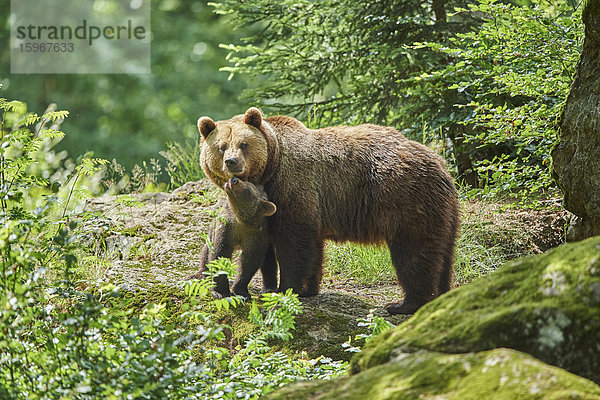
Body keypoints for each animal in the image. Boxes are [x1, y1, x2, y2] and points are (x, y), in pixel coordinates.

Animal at [197, 108, 460, 314]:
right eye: (221, 147)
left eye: (243, 144)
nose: (232, 162)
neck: (271, 167)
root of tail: (440, 165)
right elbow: (301, 247)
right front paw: (303, 288)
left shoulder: (294, 188)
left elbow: (294, 242)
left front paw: (286, 288)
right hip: (444, 211)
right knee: (443, 253)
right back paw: (441, 294)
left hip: (403, 198)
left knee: (412, 253)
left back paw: (404, 304)